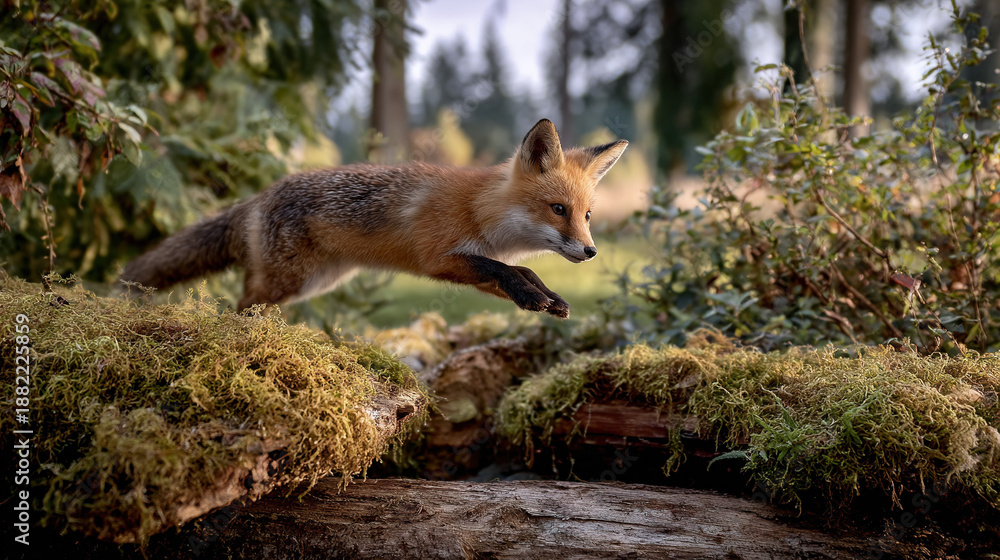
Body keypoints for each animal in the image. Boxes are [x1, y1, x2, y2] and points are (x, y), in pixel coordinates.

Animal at [120, 119, 627, 318]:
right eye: (558, 209)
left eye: (586, 214)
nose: (590, 251)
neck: (480, 212)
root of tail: (261, 194)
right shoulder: (439, 257)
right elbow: (501, 269)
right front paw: (533, 296)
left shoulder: (467, 262)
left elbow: (518, 271)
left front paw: (546, 297)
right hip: (286, 280)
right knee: (241, 304)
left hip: (312, 282)